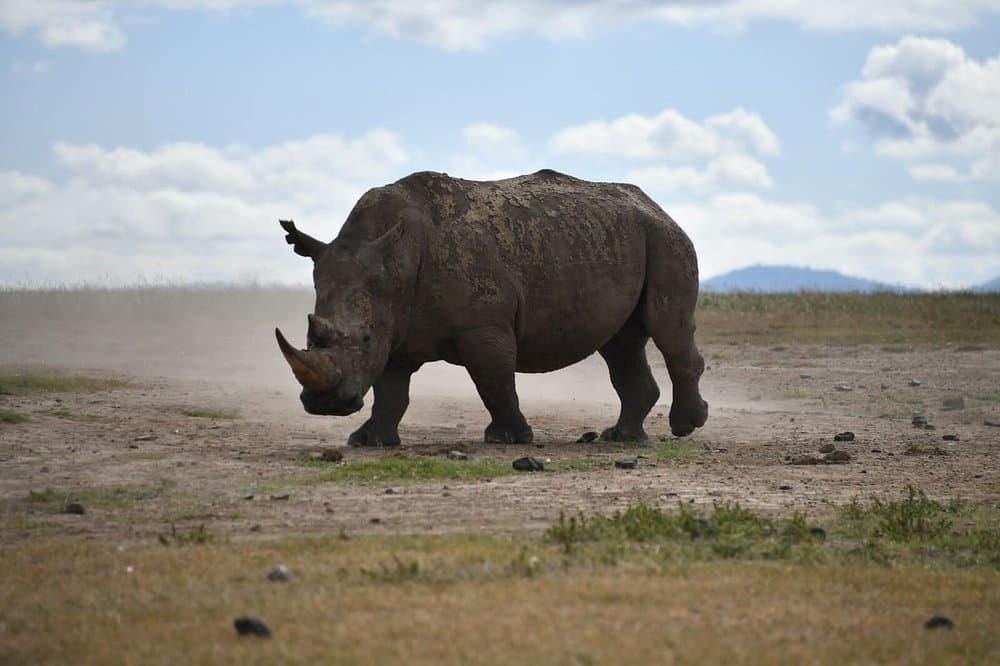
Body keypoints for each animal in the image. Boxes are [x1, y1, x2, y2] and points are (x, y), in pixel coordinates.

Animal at [275, 169, 708, 446]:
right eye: (310, 337)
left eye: (364, 338)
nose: (325, 406)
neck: (396, 260)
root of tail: (657, 205)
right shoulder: (395, 328)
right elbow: (391, 390)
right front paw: (368, 441)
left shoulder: (482, 326)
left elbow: (493, 381)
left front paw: (509, 438)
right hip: (623, 239)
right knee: (619, 346)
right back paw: (621, 438)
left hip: (666, 239)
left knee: (667, 330)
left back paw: (685, 426)